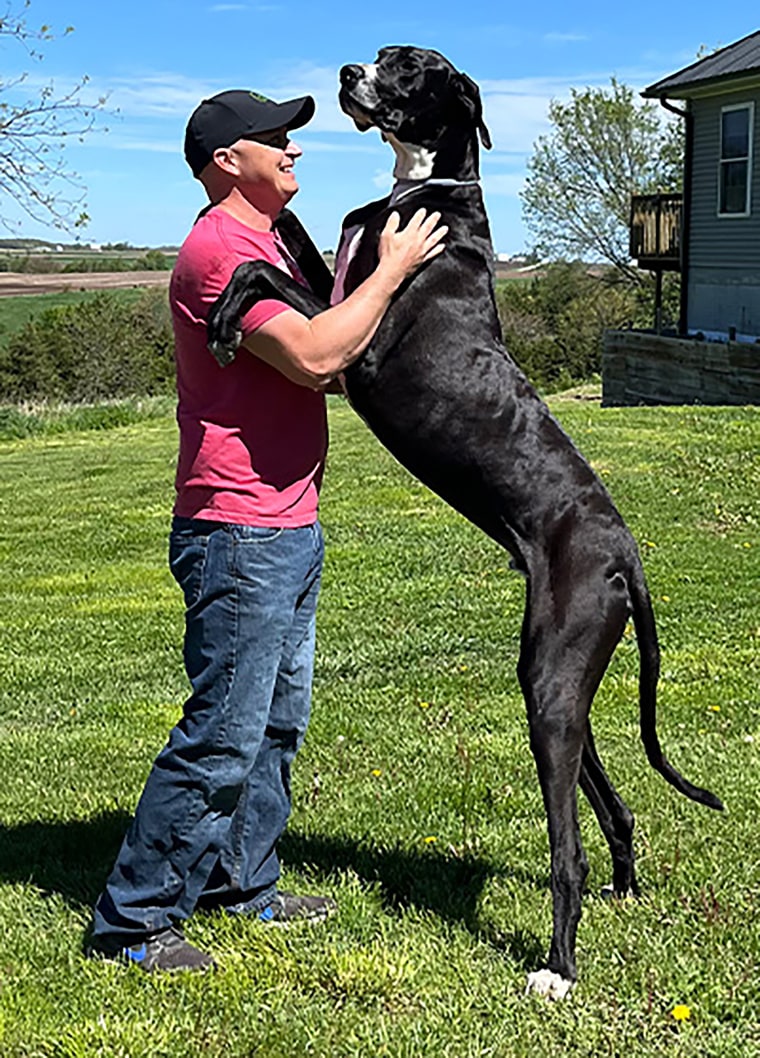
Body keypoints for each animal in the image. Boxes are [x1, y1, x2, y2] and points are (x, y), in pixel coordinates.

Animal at [209, 43, 728, 998]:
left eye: (410, 68)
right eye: (382, 55)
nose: (348, 70)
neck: (426, 187)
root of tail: (625, 551)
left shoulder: (357, 351)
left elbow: (265, 273)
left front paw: (228, 315)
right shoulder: (338, 290)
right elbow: (287, 247)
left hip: (553, 685)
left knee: (565, 849)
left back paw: (558, 967)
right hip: (556, 680)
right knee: (612, 799)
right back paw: (624, 886)